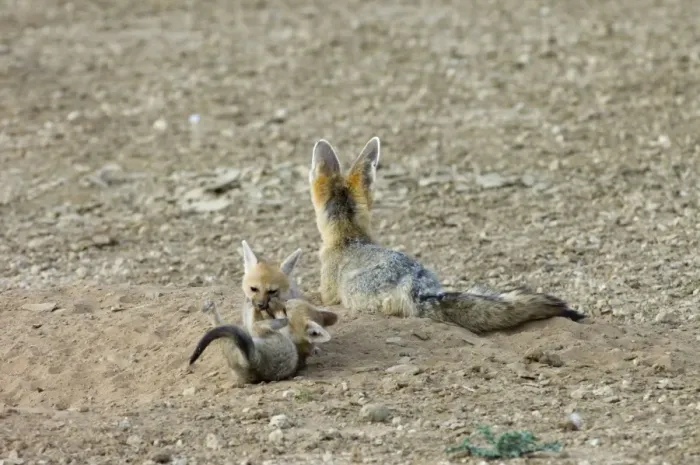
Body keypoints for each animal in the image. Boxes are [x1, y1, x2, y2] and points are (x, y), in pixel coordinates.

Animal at [189, 299, 338, 384]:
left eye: (285, 309)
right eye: (286, 302)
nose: (267, 301)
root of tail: (254, 363)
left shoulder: (253, 326)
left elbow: (252, 315)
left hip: (253, 332)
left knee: (221, 326)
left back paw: (210, 309)